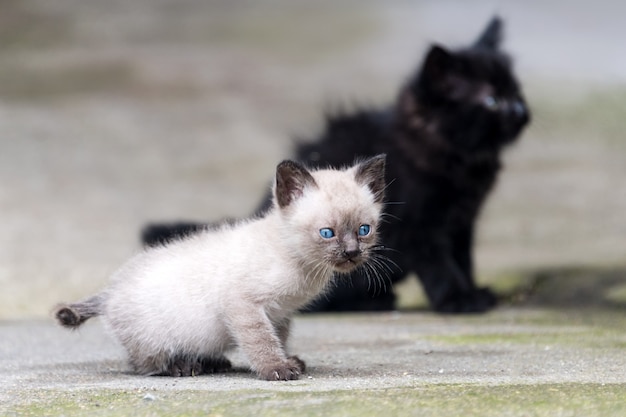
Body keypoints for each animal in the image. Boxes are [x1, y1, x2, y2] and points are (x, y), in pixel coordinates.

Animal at [53, 154, 386, 378]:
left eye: (364, 230)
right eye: (327, 233)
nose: (352, 252)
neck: (301, 263)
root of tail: (109, 292)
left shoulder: (280, 313)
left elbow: (277, 337)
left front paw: (288, 360)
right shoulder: (243, 304)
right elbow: (260, 341)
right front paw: (276, 368)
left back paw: (211, 362)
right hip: (154, 339)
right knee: (143, 364)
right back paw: (183, 366)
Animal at [141, 17, 528, 314]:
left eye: (517, 92)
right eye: (492, 100)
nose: (523, 112)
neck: (460, 159)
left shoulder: (463, 221)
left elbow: (463, 258)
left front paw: (474, 291)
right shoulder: (419, 223)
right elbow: (441, 263)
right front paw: (460, 300)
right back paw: (374, 301)